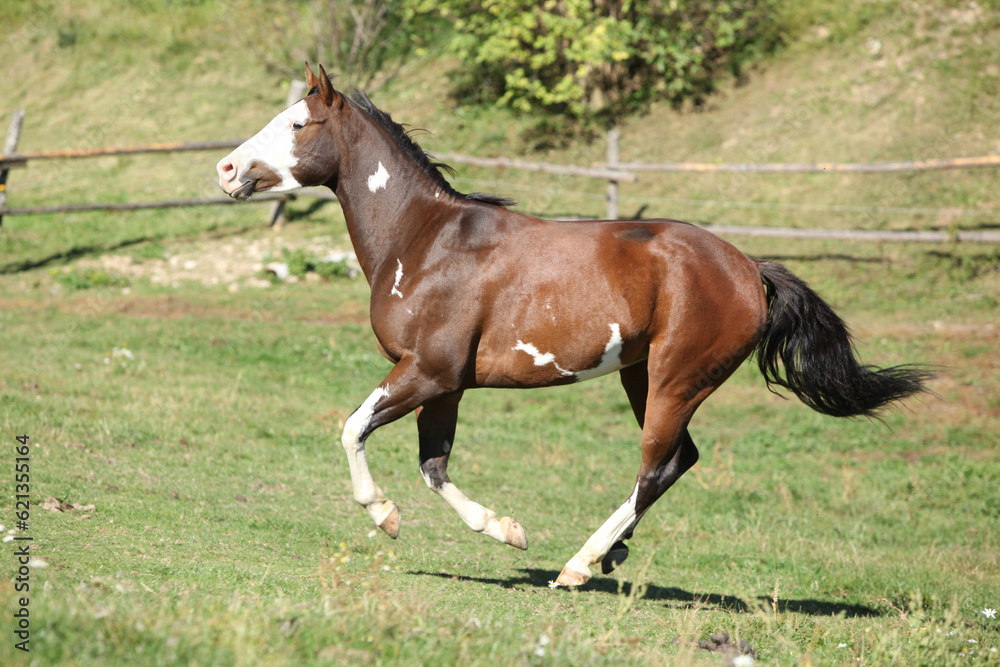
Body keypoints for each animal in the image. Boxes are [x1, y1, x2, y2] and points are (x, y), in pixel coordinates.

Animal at [215, 61, 932, 584]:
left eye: (298, 122)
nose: (226, 168)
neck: (426, 240)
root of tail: (748, 268)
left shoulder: (426, 370)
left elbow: (353, 427)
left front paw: (384, 515)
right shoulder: (446, 383)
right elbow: (433, 464)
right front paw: (506, 529)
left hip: (676, 379)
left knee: (654, 466)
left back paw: (581, 564)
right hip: (644, 376)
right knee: (679, 460)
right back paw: (610, 552)